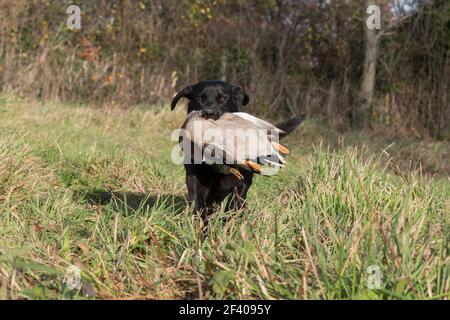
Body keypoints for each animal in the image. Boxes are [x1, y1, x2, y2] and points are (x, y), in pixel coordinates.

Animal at [171, 80, 302, 220]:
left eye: (222, 99)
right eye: (201, 98)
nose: (208, 113)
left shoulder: (241, 186)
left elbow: (233, 207)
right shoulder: (196, 182)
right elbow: (199, 206)